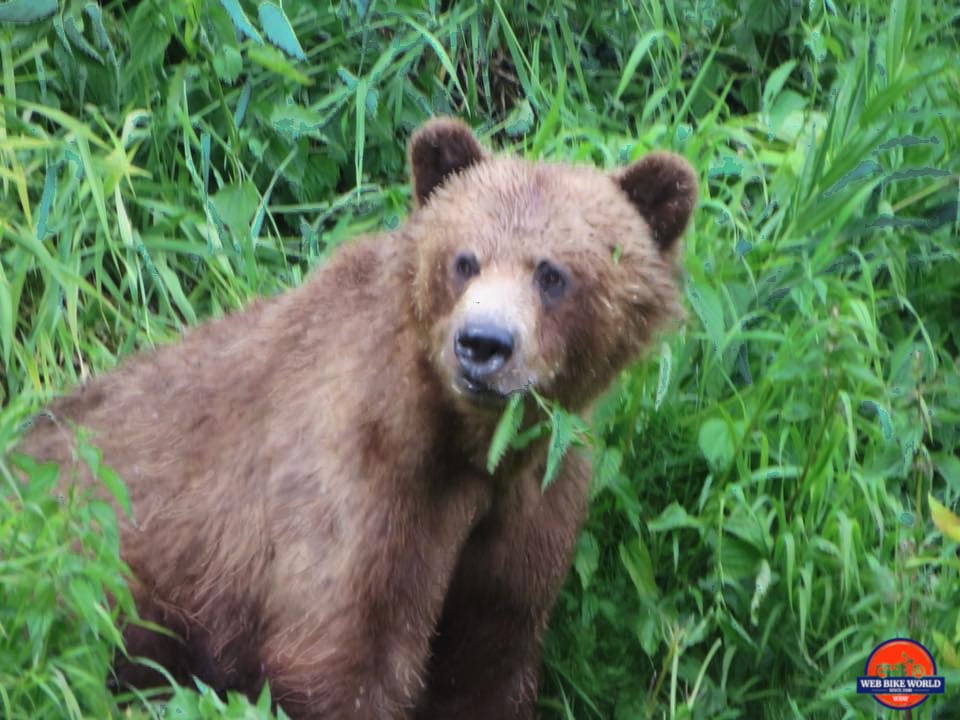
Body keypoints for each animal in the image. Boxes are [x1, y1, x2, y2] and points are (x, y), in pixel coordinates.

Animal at [16, 115, 696, 716]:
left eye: (552, 274)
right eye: (465, 259)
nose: (483, 343)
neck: (468, 445)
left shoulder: (532, 506)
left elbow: (488, 659)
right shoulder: (362, 487)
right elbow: (345, 657)